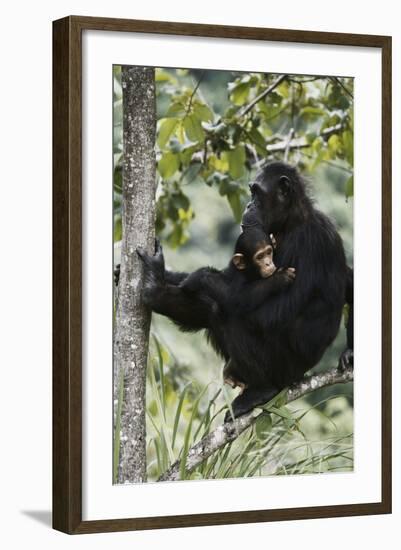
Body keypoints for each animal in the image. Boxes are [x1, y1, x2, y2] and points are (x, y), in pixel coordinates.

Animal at [136, 164, 352, 422]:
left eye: (257, 193)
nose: (249, 205)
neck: (293, 221)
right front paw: (162, 273)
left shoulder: (306, 244)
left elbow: (271, 313)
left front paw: (193, 276)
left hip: (282, 370)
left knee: (226, 314)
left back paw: (261, 391)